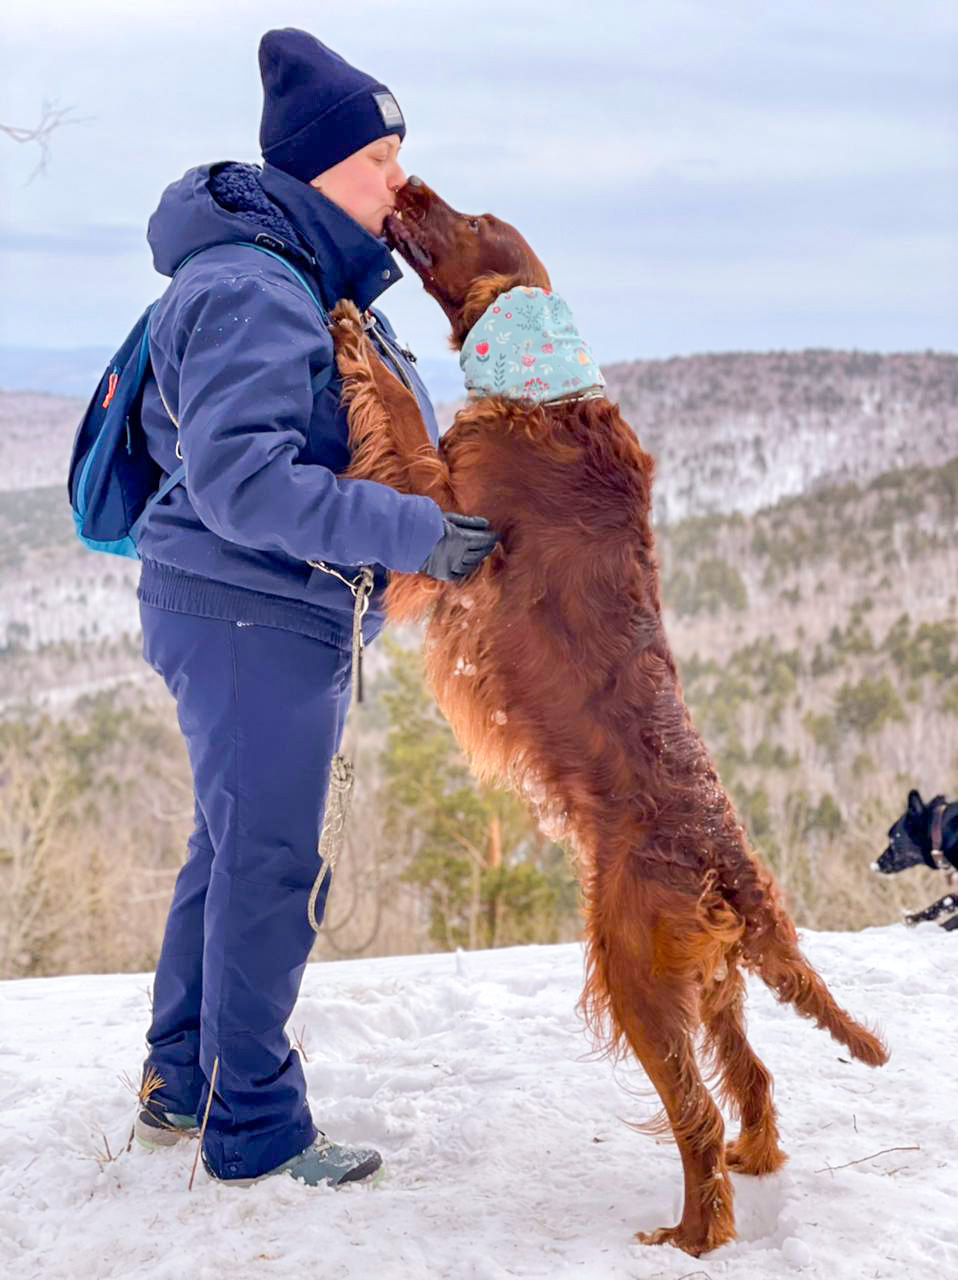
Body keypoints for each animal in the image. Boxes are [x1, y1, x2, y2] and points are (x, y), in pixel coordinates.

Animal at [327, 180, 881, 1259]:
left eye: (465, 222)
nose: (407, 185)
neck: (547, 389)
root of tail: (733, 866)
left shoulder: (450, 505)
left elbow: (400, 424)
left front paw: (350, 334)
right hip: (709, 980)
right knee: (752, 1076)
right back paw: (755, 1159)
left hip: (632, 966)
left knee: (696, 1112)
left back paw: (696, 1234)